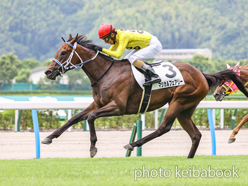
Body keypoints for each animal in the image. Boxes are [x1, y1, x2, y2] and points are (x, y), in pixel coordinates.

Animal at [41, 34, 248, 158]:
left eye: (64, 52)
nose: (48, 72)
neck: (106, 73)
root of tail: (202, 74)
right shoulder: (98, 103)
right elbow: (75, 118)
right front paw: (49, 137)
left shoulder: (118, 107)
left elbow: (91, 118)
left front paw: (92, 148)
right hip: (186, 109)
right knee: (195, 135)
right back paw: (188, 158)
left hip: (179, 101)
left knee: (164, 128)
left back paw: (132, 144)